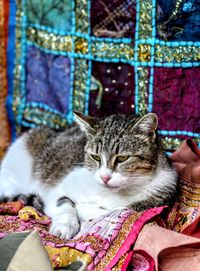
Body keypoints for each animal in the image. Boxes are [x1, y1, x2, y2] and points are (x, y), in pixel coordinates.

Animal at [0, 112, 177, 240]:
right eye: (96, 157)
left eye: (122, 158)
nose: (105, 177)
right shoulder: (56, 187)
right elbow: (64, 202)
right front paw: (65, 226)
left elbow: (117, 212)